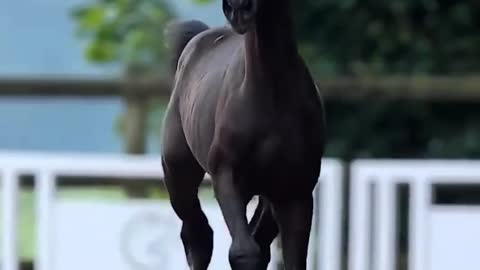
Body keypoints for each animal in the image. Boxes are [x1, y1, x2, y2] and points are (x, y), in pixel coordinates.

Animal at [162, 0, 326, 268]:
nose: (238, 9)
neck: (270, 91)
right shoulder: (227, 174)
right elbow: (243, 252)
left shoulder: (296, 191)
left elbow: (291, 258)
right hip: (178, 173)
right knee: (198, 235)